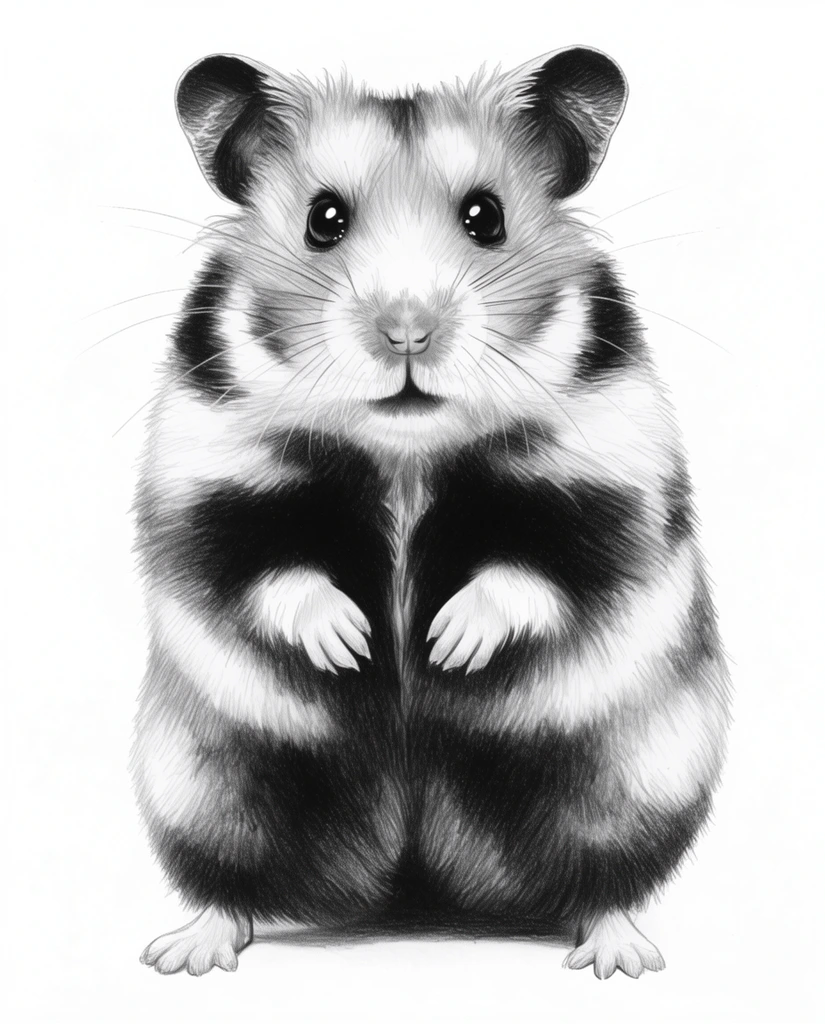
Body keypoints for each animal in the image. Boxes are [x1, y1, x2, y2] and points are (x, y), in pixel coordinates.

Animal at [131, 47, 730, 978]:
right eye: (323, 219)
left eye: (485, 217)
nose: (405, 331)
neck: (406, 449)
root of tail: (414, 876)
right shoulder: (210, 474)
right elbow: (266, 567)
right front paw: (353, 644)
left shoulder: (607, 475)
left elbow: (538, 567)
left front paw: (446, 644)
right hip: (206, 783)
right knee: (227, 879)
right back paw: (186, 951)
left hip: (630, 779)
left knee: (606, 876)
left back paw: (619, 955)